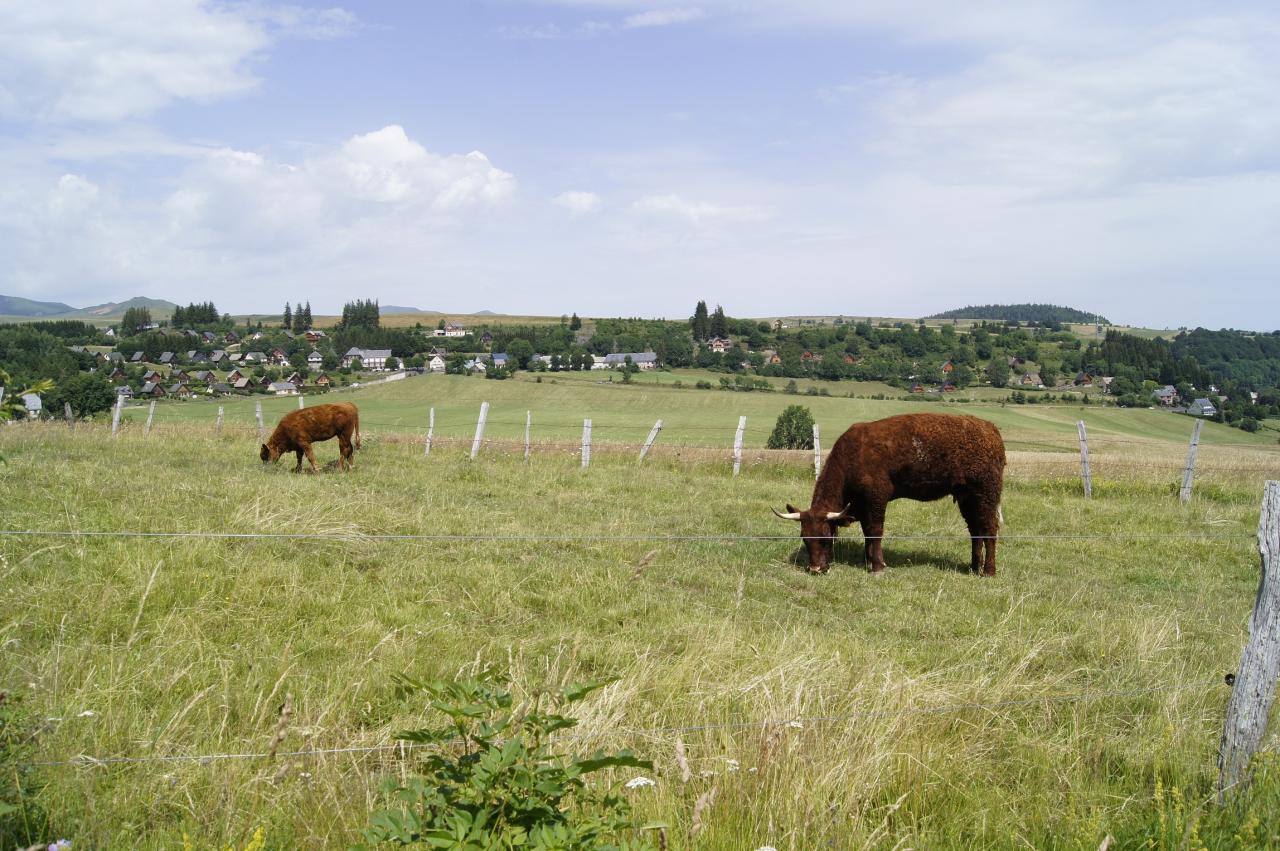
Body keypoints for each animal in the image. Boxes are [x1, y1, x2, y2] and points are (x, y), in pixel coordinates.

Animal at [773, 412, 1003, 573]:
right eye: (804, 538)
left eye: (826, 537)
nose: (815, 569)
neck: (852, 456)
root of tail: (989, 428)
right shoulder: (863, 505)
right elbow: (867, 532)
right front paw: (868, 561)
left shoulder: (877, 497)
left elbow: (875, 531)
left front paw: (877, 566)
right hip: (967, 497)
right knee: (975, 530)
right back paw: (974, 567)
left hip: (987, 493)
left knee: (989, 529)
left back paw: (989, 571)